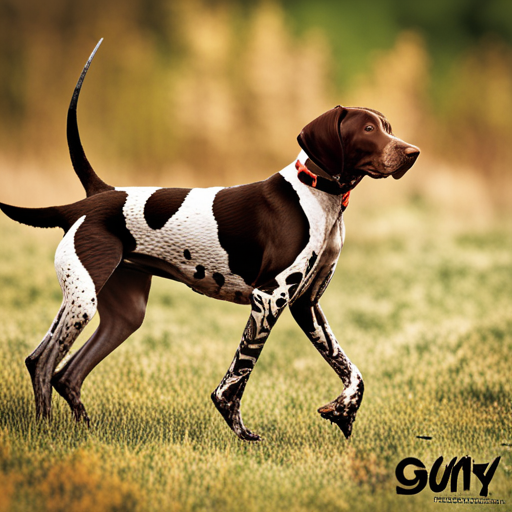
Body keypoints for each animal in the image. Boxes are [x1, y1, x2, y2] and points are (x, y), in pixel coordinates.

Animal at [0, 41, 420, 440]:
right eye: (368, 129)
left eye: (387, 126)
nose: (412, 152)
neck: (319, 193)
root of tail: (94, 197)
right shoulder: (268, 299)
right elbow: (235, 380)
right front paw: (240, 430)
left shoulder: (307, 305)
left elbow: (353, 373)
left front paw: (344, 410)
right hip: (83, 300)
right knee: (42, 362)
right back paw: (45, 430)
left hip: (125, 314)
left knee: (67, 374)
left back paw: (84, 431)